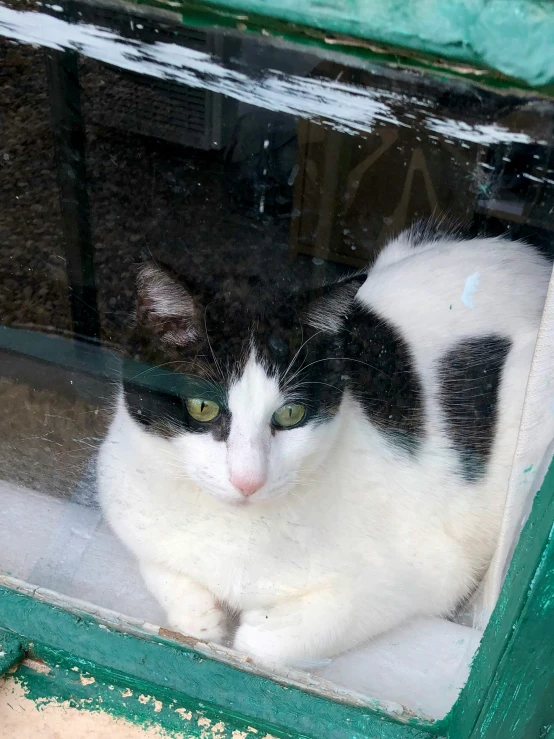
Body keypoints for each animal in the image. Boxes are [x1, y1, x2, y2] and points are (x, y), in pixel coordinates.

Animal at [97, 228, 548, 668]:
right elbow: (158, 566)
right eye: (202, 407)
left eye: (290, 414)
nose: (248, 480)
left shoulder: (432, 569)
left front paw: (257, 624)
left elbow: (275, 640)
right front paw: (198, 612)